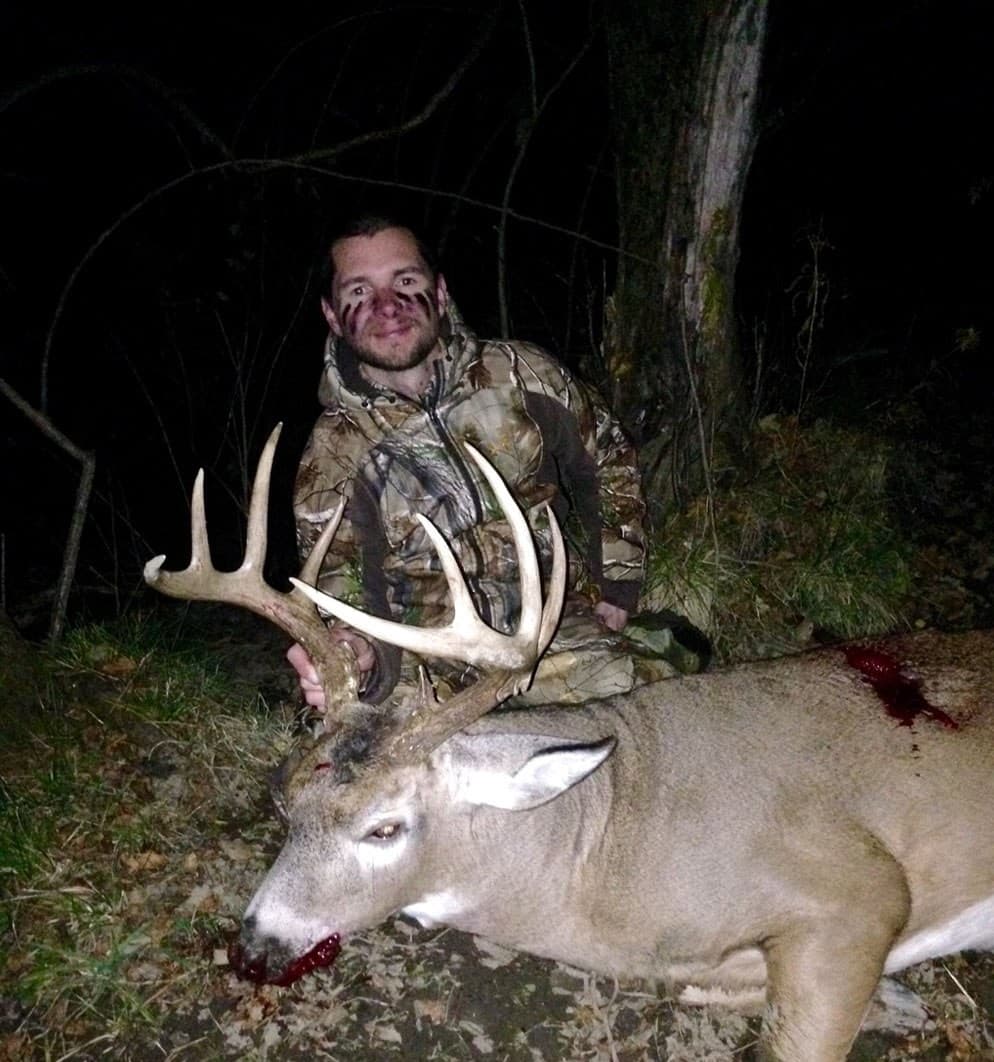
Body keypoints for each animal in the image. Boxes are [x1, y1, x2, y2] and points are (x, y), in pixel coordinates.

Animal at [145, 424, 994, 1062]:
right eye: (282, 800)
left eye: (385, 828)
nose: (254, 948)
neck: (607, 846)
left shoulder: (860, 890)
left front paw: (893, 998)